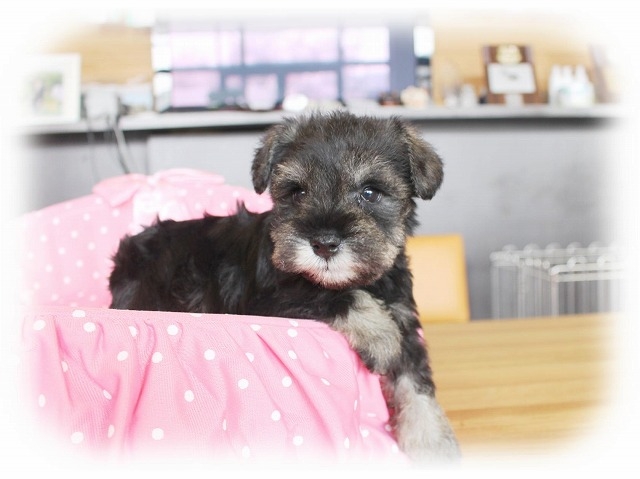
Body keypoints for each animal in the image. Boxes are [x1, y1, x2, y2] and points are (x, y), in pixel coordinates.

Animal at [109, 111, 461, 463]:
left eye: (371, 192)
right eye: (297, 192)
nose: (324, 244)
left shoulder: (405, 318)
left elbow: (416, 382)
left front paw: (434, 444)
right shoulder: (273, 300)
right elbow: (332, 294)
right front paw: (381, 337)